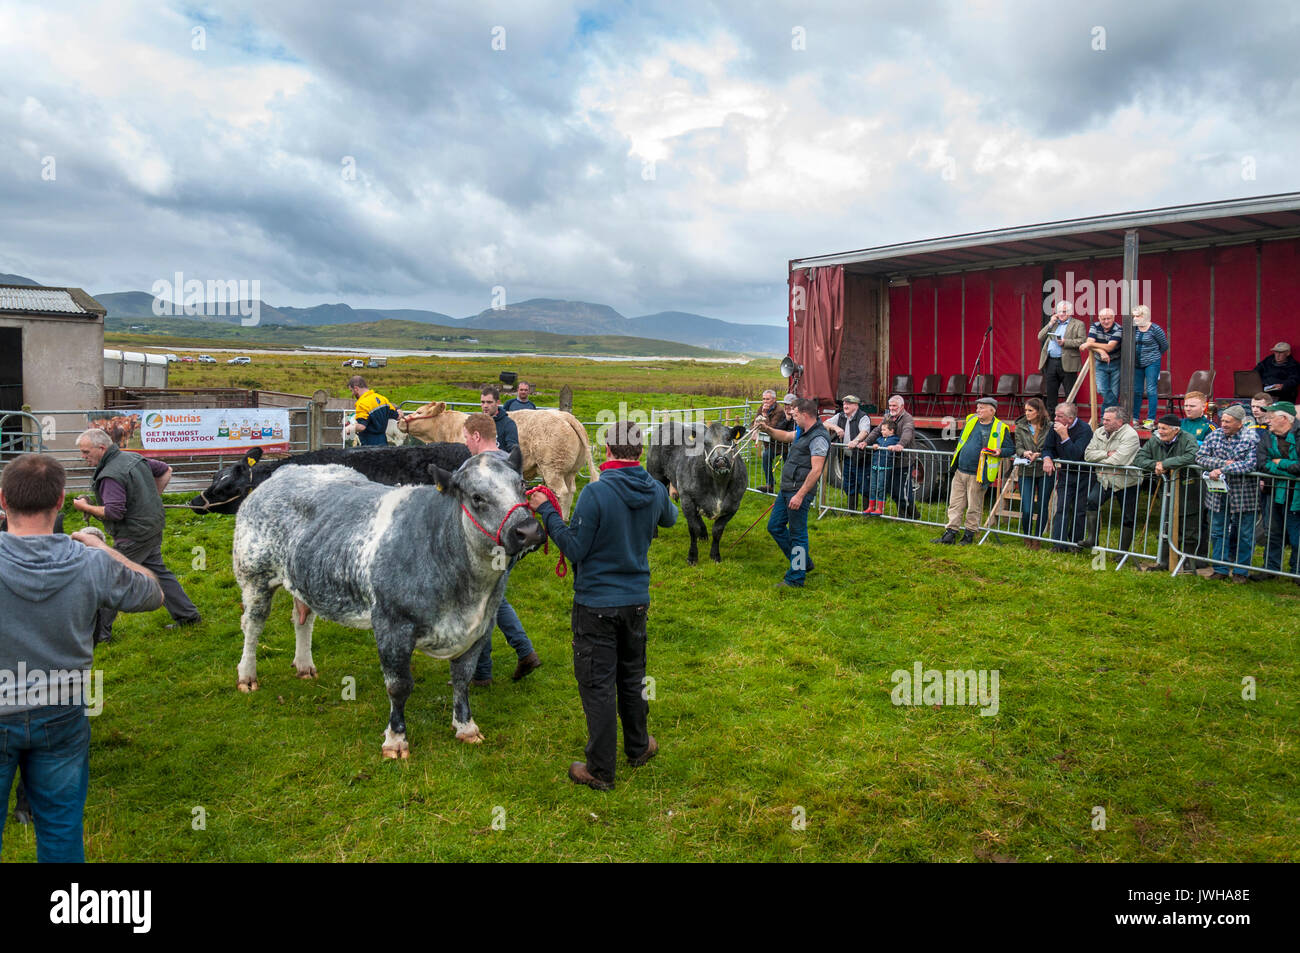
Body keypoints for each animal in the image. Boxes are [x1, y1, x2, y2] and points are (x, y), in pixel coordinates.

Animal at [233, 452, 543, 759]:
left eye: (522, 484)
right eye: (477, 497)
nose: (527, 530)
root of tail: (287, 469)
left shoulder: (482, 626)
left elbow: (462, 678)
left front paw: (466, 727)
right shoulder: (391, 624)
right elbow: (399, 686)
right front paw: (396, 739)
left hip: (305, 578)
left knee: (303, 617)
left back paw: (304, 665)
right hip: (254, 575)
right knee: (253, 625)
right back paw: (247, 676)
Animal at [397, 405, 595, 517]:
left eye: (419, 411)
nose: (400, 420)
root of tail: (565, 416)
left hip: (552, 468)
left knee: (562, 492)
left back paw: (560, 516)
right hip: (570, 470)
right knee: (571, 490)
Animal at [644, 421, 748, 561]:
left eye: (728, 438)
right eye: (705, 442)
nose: (720, 461)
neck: (719, 485)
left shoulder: (733, 505)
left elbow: (717, 530)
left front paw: (715, 555)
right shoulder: (687, 499)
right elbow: (693, 528)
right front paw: (692, 556)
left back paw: (703, 534)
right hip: (656, 476)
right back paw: (654, 533)